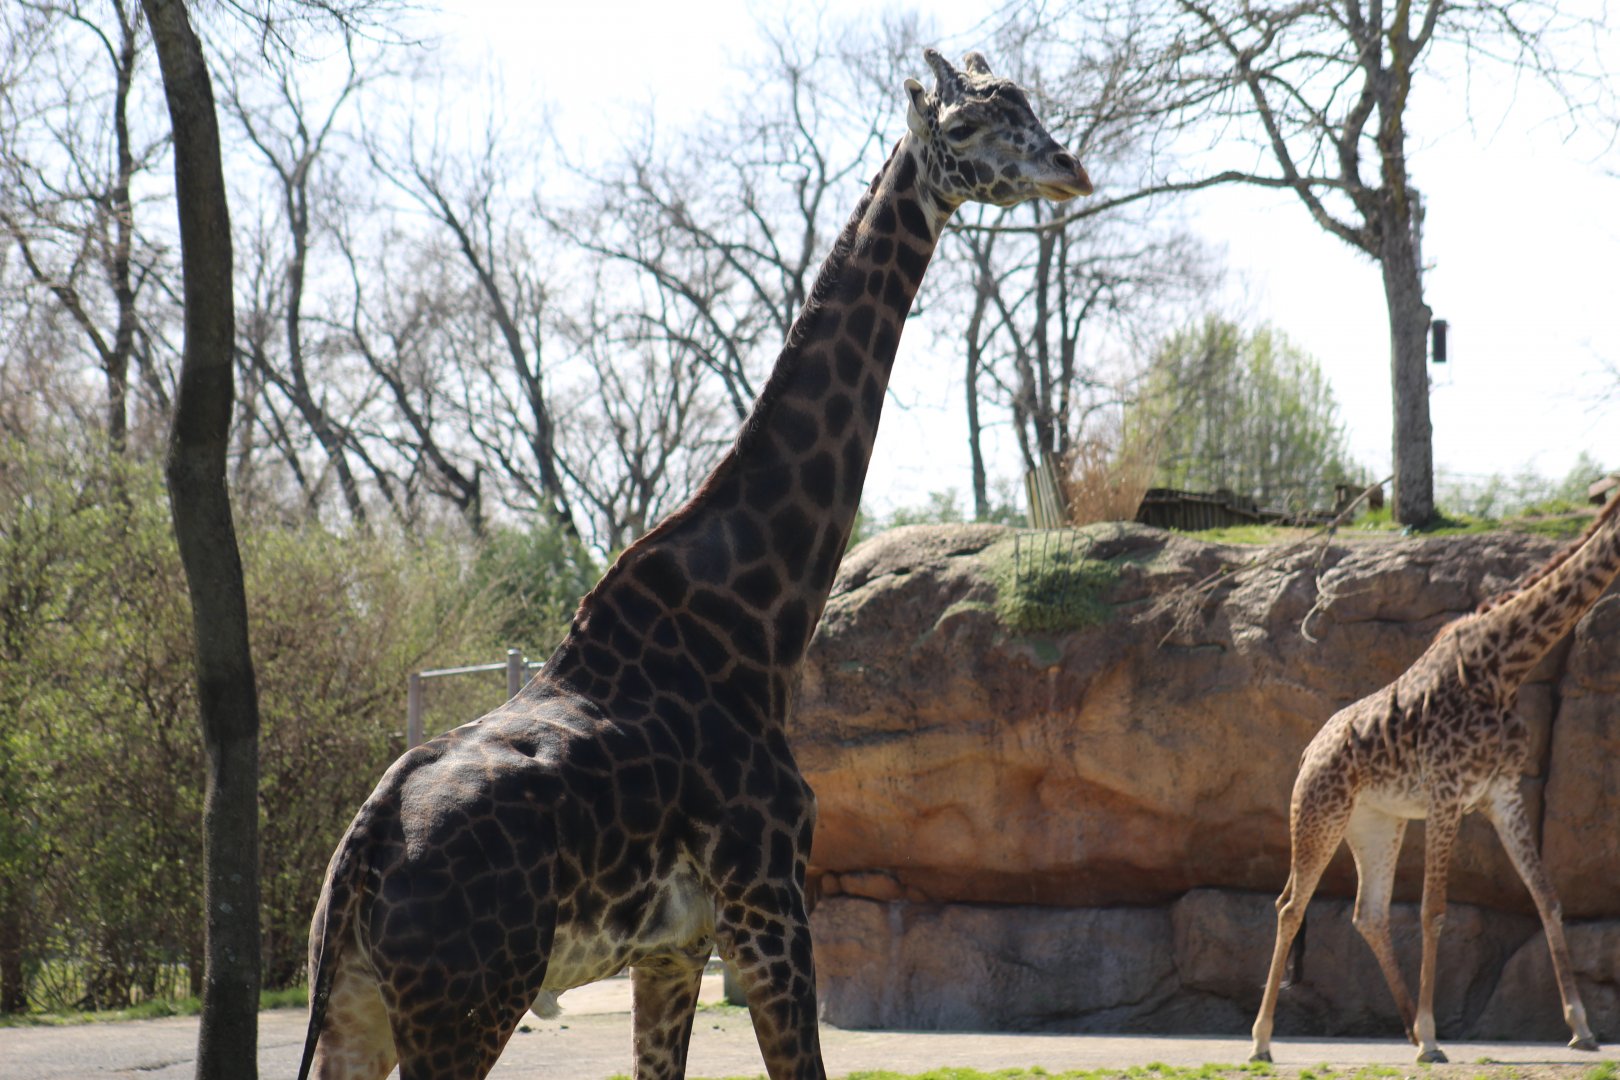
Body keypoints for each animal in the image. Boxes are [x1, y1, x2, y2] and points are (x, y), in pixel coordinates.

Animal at [297, 50, 1091, 1080]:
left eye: (1030, 102)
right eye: (965, 128)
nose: (1070, 169)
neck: (752, 623)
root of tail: (361, 852)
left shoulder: (672, 948)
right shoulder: (770, 909)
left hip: (360, 1011)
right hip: (468, 1005)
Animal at [1249, 491, 1620, 1064]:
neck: (1504, 667)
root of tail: (1309, 749)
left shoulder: (1502, 793)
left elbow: (1546, 896)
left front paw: (1582, 1026)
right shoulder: (1447, 793)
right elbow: (1433, 911)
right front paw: (1431, 1037)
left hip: (1377, 825)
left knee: (1369, 913)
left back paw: (1403, 1026)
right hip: (1318, 812)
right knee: (1291, 906)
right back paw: (1264, 1041)